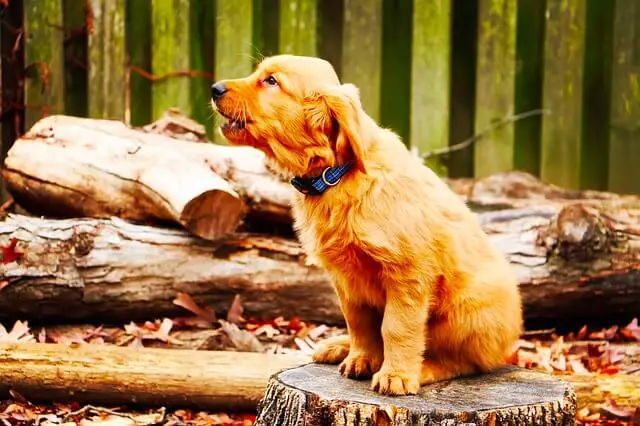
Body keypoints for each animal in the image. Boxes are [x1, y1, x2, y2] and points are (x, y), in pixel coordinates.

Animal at [212, 54, 524, 396]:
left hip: (467, 313)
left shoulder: (407, 274)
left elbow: (396, 327)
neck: (336, 175)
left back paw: (424, 369)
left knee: (466, 362)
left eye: (271, 81)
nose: (215, 88)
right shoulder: (347, 280)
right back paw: (338, 346)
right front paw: (360, 358)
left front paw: (396, 375)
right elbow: (359, 322)